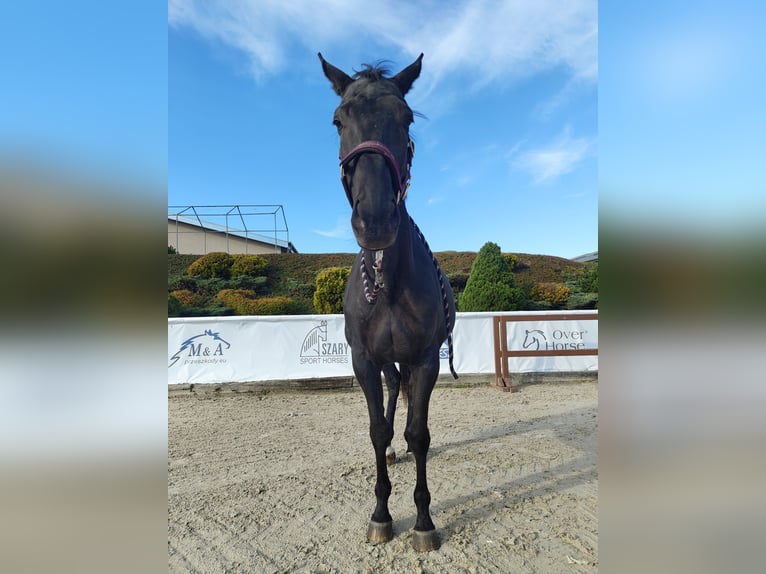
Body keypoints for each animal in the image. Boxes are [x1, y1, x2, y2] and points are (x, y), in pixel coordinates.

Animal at [320, 54, 460, 552]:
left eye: (406, 118)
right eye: (339, 119)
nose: (376, 220)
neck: (388, 281)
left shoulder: (426, 358)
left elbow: (419, 431)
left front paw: (423, 520)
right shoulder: (364, 359)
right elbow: (377, 429)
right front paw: (381, 513)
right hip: (385, 361)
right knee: (393, 390)